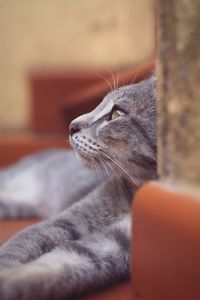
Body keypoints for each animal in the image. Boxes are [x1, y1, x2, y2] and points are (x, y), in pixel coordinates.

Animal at [0, 73, 157, 300]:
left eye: (117, 113)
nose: (72, 125)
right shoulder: (66, 220)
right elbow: (21, 245)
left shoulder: (118, 243)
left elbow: (61, 264)